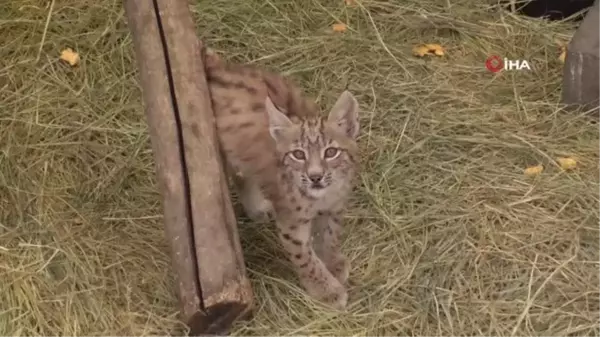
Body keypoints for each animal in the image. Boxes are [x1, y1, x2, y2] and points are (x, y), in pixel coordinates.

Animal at [204, 48, 358, 308]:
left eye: (330, 152)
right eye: (298, 154)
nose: (315, 177)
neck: (321, 196)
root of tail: (221, 68)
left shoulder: (335, 207)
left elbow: (330, 236)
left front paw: (332, 262)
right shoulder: (291, 223)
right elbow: (305, 258)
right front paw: (325, 289)